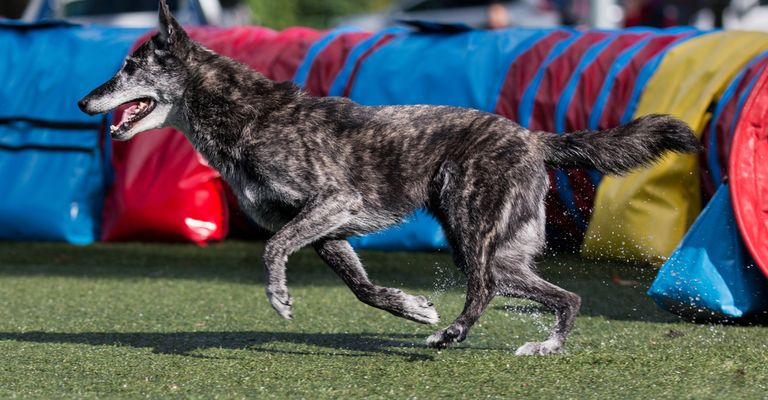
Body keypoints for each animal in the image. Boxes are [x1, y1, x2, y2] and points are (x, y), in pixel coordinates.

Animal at [79, 0, 704, 356]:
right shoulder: (329, 231)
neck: (247, 115)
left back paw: (453, 335)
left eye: (129, 68)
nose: (84, 101)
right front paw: (412, 307)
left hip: (471, 227)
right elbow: (362, 288)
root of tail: (533, 138)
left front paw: (279, 298)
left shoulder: (334, 201)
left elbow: (273, 249)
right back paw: (543, 345)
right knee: (565, 296)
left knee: (483, 287)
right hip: (503, 250)